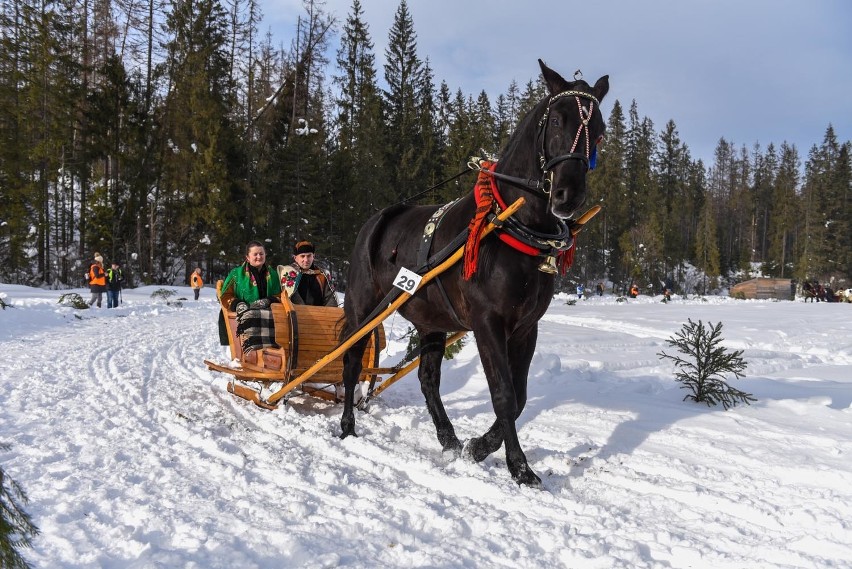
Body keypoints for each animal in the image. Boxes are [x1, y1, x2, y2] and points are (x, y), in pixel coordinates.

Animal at [338, 60, 604, 486]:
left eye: (599, 130)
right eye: (557, 120)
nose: (568, 194)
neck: (509, 225)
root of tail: (378, 219)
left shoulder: (526, 327)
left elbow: (520, 396)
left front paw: (478, 447)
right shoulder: (487, 321)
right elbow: (504, 395)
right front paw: (519, 466)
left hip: (430, 319)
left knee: (428, 379)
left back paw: (448, 438)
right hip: (363, 307)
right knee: (349, 360)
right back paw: (347, 424)